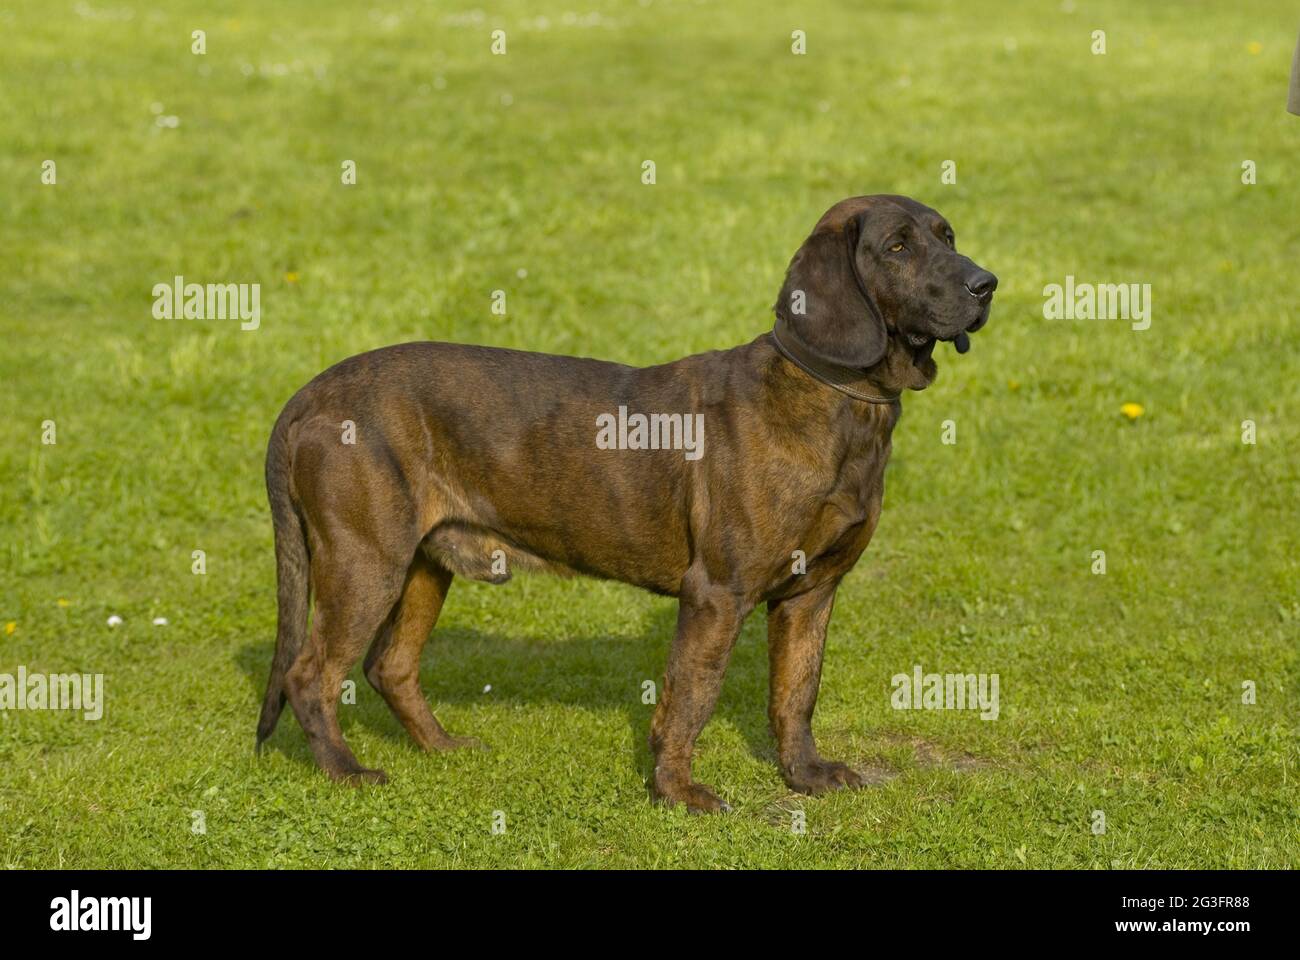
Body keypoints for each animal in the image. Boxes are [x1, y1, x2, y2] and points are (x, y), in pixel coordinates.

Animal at [258, 195, 998, 806]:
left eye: (948, 235)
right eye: (897, 246)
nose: (986, 283)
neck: (836, 397)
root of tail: (310, 395)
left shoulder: (811, 594)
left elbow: (795, 695)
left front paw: (805, 777)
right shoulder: (716, 593)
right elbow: (688, 700)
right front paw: (677, 792)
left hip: (422, 565)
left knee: (390, 666)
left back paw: (443, 748)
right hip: (365, 562)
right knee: (310, 674)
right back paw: (345, 772)